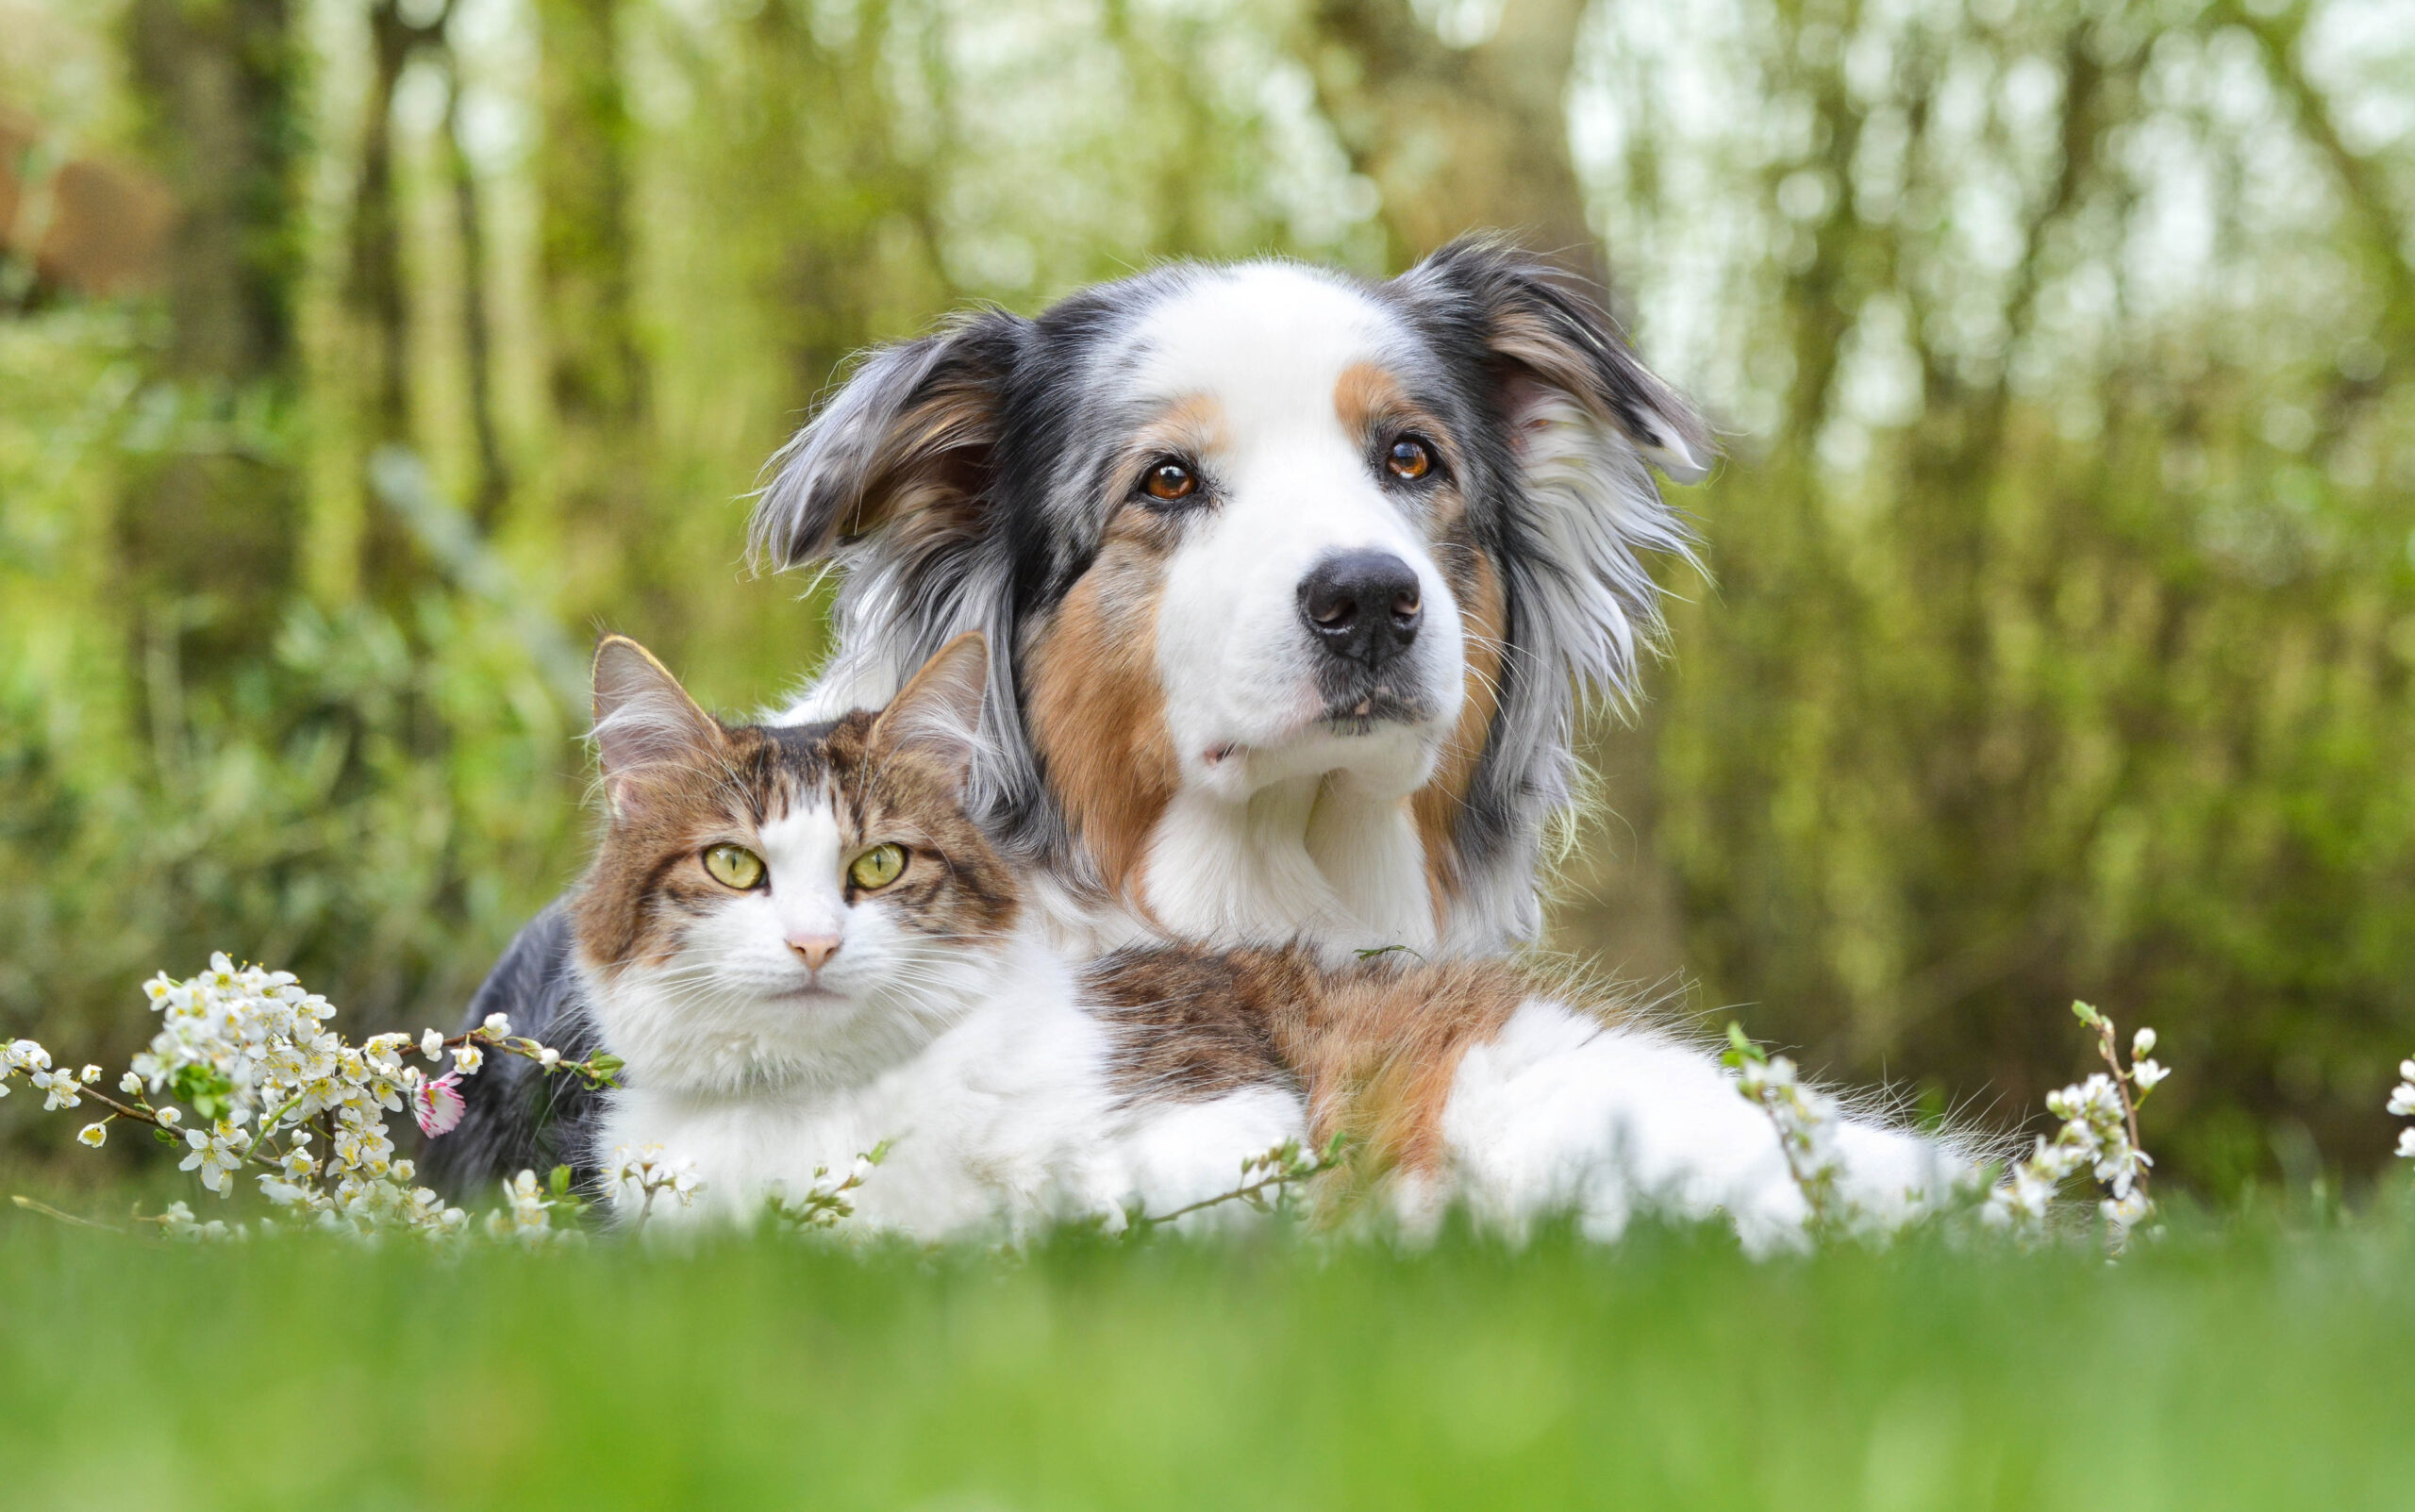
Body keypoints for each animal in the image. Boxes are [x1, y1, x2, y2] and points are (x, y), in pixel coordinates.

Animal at [579, 627, 1960, 1246]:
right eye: (734, 865)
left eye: (878, 865)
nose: (815, 945)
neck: (824, 1110)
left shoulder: (1225, 1104)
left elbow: (1095, 1209)